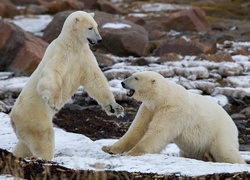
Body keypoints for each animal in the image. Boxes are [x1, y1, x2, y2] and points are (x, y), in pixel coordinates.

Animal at [10, 10, 124, 160]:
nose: (99, 40)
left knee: (24, 145)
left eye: (96, 26)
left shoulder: (84, 56)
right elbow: (52, 72)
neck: (73, 44)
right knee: (43, 137)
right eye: (90, 28)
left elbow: (95, 78)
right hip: (33, 117)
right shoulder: (62, 53)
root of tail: (12, 117)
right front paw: (54, 103)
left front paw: (115, 107)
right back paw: (45, 158)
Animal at [102, 71, 246, 164]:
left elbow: (157, 132)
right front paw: (109, 148)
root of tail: (233, 125)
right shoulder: (148, 109)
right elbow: (137, 129)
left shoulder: (173, 111)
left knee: (225, 152)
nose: (122, 83)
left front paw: (132, 152)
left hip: (220, 133)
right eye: (132, 75)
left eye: (136, 78)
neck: (163, 97)